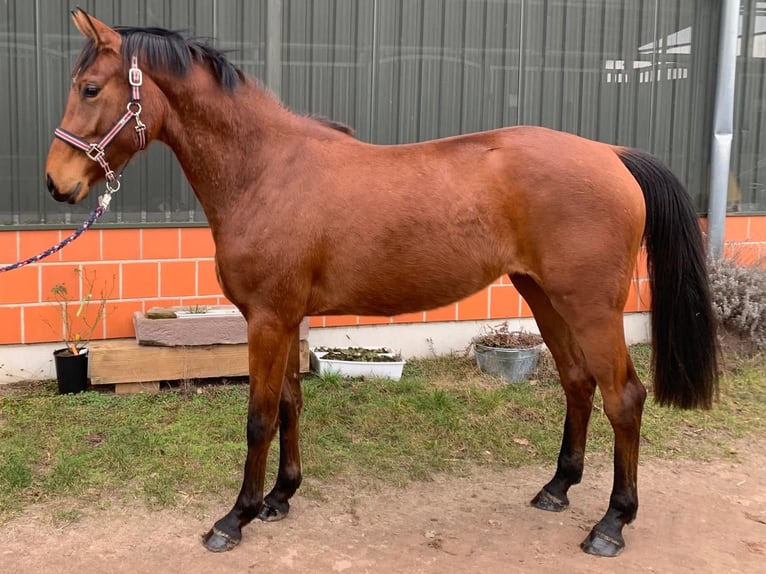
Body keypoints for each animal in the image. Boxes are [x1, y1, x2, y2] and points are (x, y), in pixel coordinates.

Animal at [46, 7, 720, 560]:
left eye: (90, 88)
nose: (57, 183)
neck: (265, 169)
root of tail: (611, 154)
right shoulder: (285, 318)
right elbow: (290, 403)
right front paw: (280, 498)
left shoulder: (266, 318)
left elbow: (259, 416)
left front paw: (235, 518)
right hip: (544, 296)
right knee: (578, 384)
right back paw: (557, 487)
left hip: (592, 308)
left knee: (623, 398)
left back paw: (611, 524)